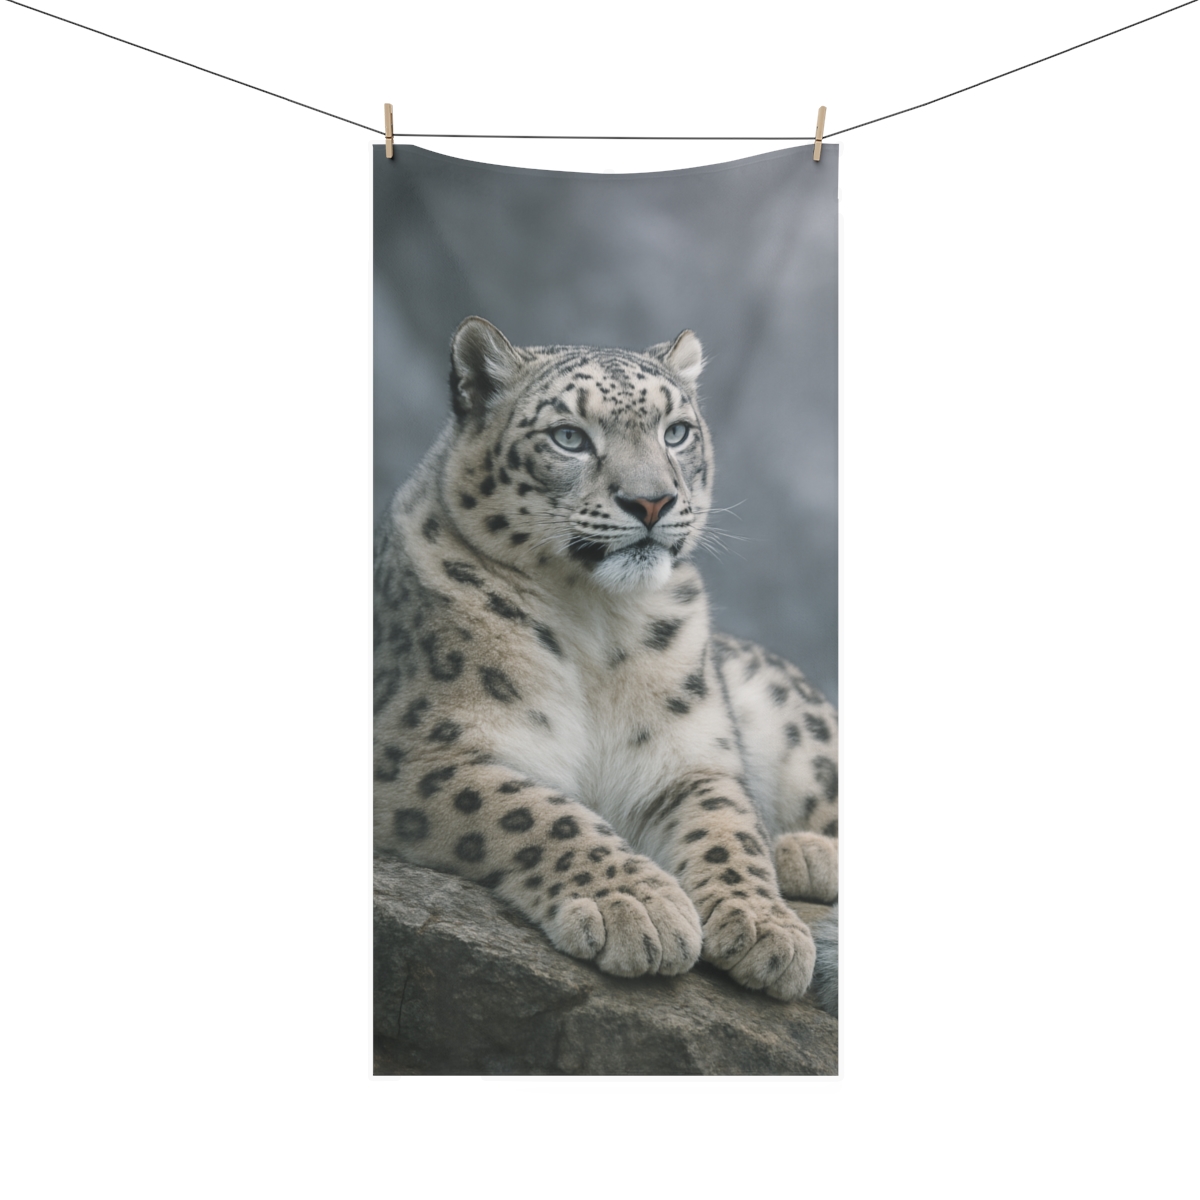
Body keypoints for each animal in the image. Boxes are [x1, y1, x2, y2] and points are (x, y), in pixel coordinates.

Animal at [374, 316, 839, 1004]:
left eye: (676, 431)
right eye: (569, 436)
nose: (651, 502)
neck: (596, 624)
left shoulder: (691, 756)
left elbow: (726, 825)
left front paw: (763, 924)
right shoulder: (418, 752)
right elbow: (532, 812)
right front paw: (638, 907)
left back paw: (802, 851)